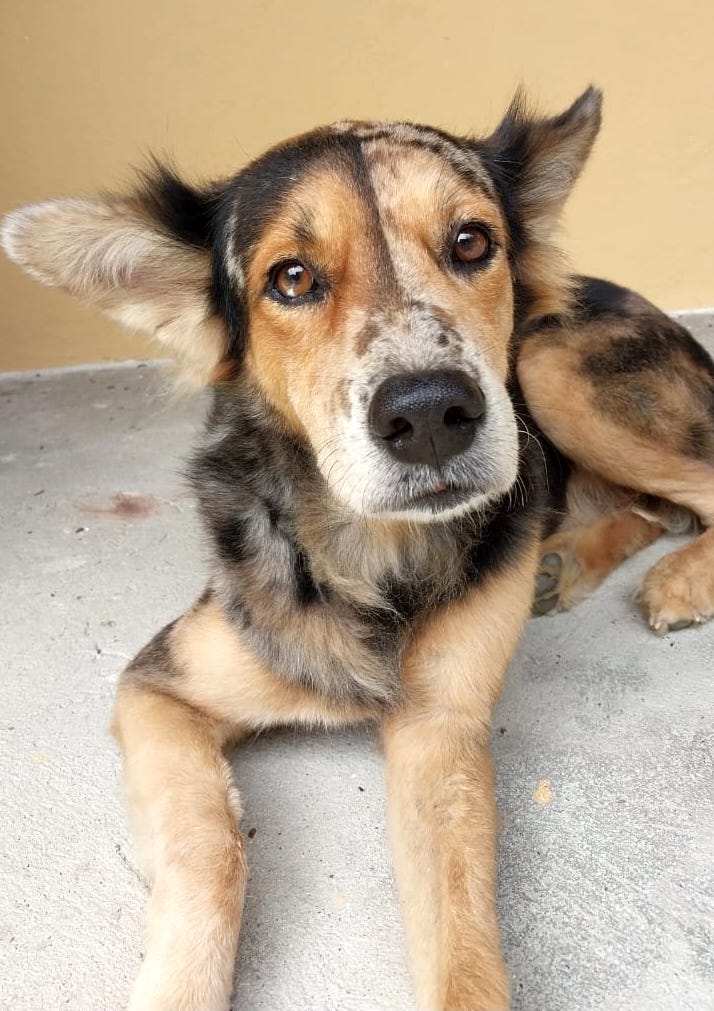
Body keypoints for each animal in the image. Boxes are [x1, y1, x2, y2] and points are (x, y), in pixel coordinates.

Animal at [1, 88, 711, 1011]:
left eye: (472, 241)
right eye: (292, 278)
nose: (431, 414)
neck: (371, 552)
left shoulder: (441, 729)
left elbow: (463, 937)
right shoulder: (159, 686)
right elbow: (213, 845)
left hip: (550, 361)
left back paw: (678, 580)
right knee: (649, 505)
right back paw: (565, 562)